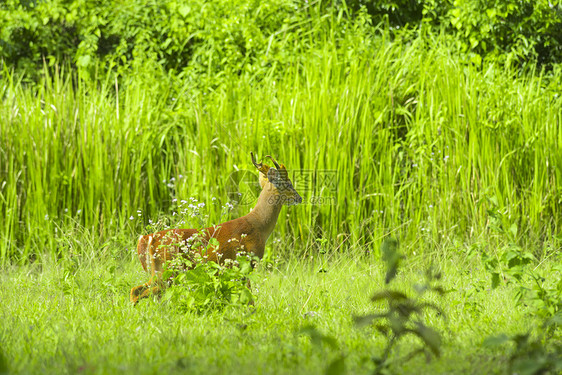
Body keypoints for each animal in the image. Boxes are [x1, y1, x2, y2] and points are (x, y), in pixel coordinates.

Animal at [130, 153, 302, 306]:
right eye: (288, 184)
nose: (299, 198)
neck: (259, 225)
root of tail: (145, 239)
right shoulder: (245, 262)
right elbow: (248, 298)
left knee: (141, 292)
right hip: (167, 269)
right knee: (139, 292)